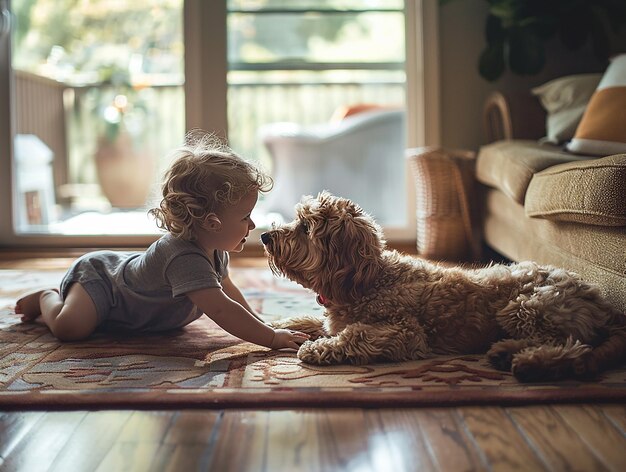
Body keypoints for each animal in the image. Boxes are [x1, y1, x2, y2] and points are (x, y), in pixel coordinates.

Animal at [260, 190, 624, 382]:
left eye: (305, 228)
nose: (264, 236)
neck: (371, 279)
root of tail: (600, 300)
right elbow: (314, 322)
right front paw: (283, 324)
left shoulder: (404, 332)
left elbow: (354, 335)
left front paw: (317, 348)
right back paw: (506, 352)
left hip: (525, 305)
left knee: (575, 347)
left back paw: (526, 362)